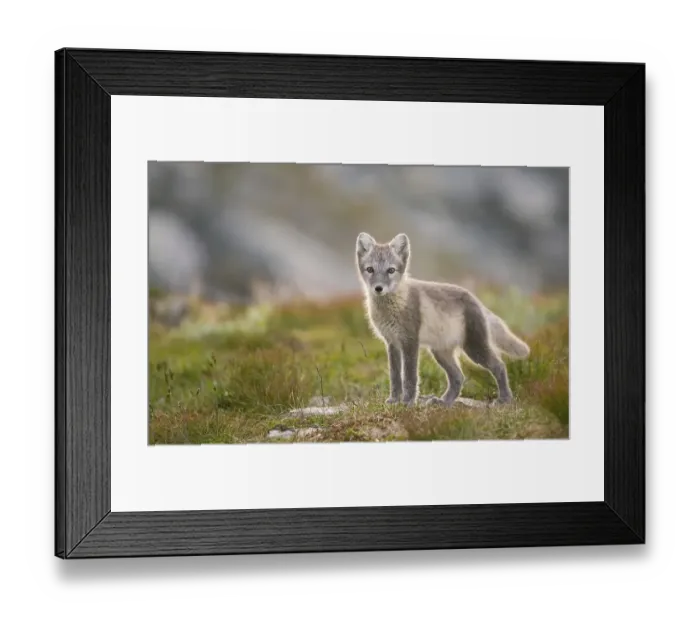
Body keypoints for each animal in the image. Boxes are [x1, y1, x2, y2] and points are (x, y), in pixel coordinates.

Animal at [356, 232, 530, 407]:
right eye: (370, 269)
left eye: (391, 270)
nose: (378, 288)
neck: (393, 305)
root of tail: (475, 300)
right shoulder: (392, 342)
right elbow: (395, 376)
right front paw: (394, 400)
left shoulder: (410, 341)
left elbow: (410, 376)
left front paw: (407, 402)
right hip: (441, 352)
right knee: (458, 377)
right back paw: (444, 402)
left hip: (474, 347)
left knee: (499, 365)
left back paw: (504, 400)